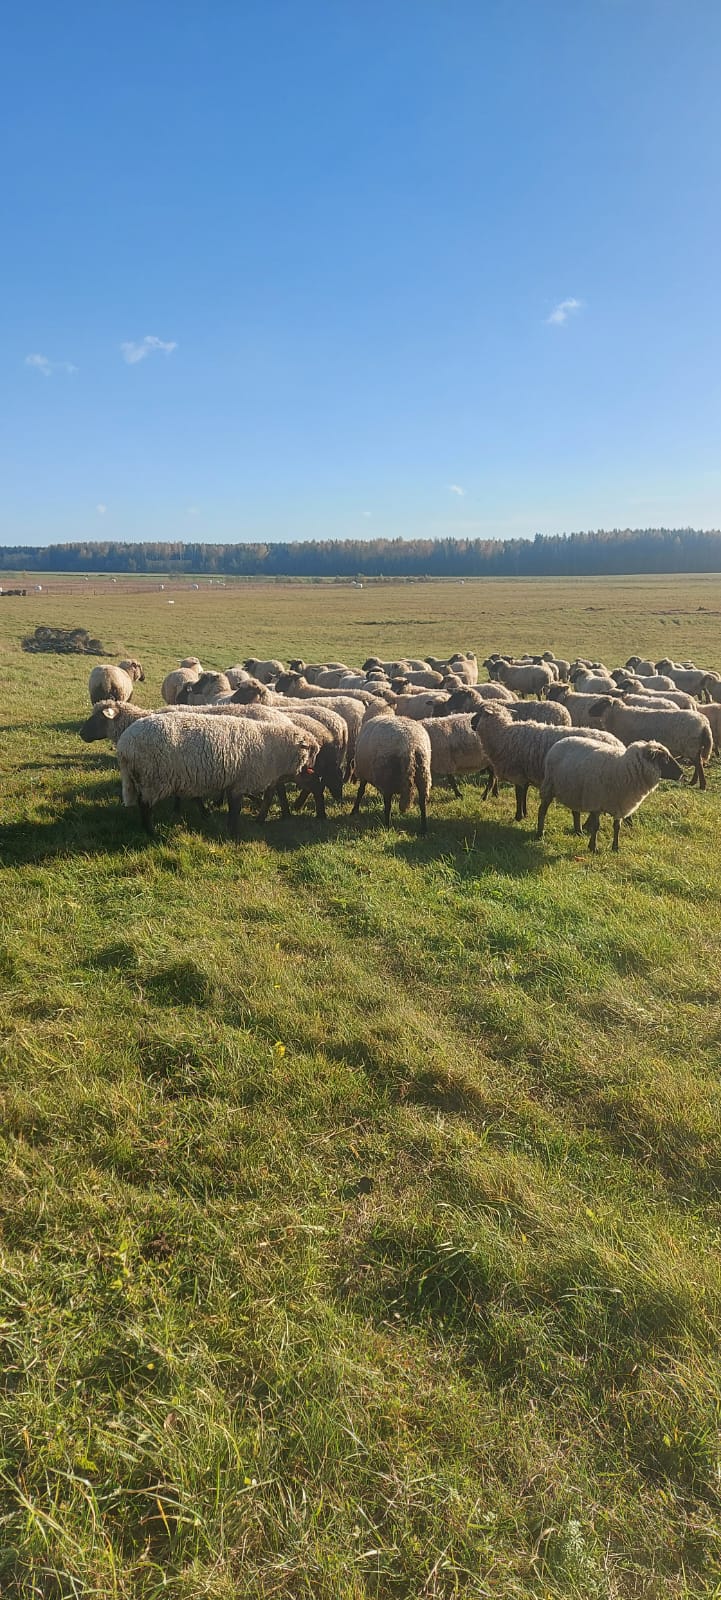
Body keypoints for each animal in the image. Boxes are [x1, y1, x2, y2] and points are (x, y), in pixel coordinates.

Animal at [115, 712, 318, 838]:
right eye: (312, 752)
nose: (313, 771)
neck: (274, 748)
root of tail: (124, 745)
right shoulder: (240, 782)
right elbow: (235, 809)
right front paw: (234, 833)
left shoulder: (234, 781)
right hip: (153, 778)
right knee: (144, 806)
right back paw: (151, 832)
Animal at [469, 703, 624, 821]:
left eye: (480, 713)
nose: (470, 722)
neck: (503, 734)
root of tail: (619, 744)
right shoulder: (526, 773)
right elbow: (524, 794)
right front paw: (525, 813)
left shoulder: (518, 773)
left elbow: (519, 795)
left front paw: (518, 816)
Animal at [537, 737, 683, 852]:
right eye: (664, 759)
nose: (682, 773)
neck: (624, 768)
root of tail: (560, 741)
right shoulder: (596, 802)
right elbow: (596, 826)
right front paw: (593, 847)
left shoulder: (620, 804)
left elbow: (617, 827)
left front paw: (615, 848)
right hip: (550, 785)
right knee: (542, 810)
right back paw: (540, 833)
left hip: (575, 791)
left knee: (575, 812)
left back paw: (579, 832)